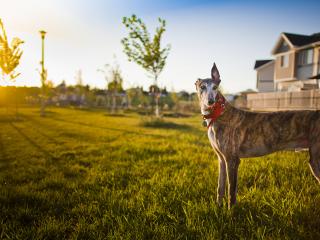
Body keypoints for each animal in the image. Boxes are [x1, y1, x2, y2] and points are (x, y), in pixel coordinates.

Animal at [195, 62, 320, 208]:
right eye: (202, 87)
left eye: (215, 87)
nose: (210, 101)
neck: (219, 113)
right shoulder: (221, 159)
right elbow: (220, 187)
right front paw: (218, 208)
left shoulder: (232, 160)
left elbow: (231, 191)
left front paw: (230, 212)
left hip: (316, 160)